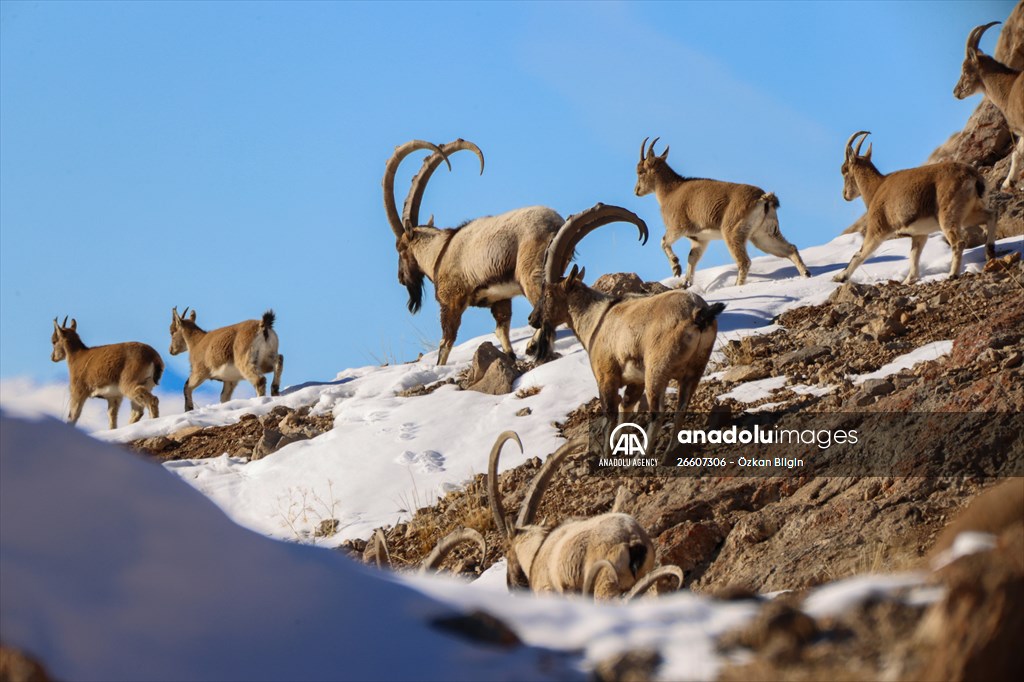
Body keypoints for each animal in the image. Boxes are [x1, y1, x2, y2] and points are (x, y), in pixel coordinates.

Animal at [382, 139, 560, 365]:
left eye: (400, 248)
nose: (401, 278)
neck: (440, 251)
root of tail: (555, 224)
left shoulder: (451, 300)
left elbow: (446, 343)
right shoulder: (500, 300)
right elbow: (502, 331)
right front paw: (511, 356)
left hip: (531, 274)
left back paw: (533, 346)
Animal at [528, 203, 724, 418]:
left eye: (547, 293)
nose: (532, 318)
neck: (596, 318)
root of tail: (699, 314)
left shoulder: (606, 378)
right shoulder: (635, 383)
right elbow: (626, 409)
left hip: (657, 370)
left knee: (657, 411)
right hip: (694, 372)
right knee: (681, 409)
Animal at [634, 137, 810, 287]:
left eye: (640, 171)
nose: (636, 191)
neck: (670, 192)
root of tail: (764, 198)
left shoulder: (678, 227)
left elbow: (663, 241)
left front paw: (676, 267)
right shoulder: (700, 239)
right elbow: (692, 258)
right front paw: (684, 284)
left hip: (732, 231)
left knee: (744, 261)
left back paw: (737, 287)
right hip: (763, 235)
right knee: (790, 248)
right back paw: (806, 274)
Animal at [835, 131, 994, 285]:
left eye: (844, 170)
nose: (845, 195)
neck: (875, 189)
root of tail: (973, 176)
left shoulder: (878, 229)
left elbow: (859, 254)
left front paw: (840, 277)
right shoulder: (920, 234)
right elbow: (914, 255)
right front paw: (909, 279)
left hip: (948, 214)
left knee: (958, 242)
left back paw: (953, 274)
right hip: (969, 213)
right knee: (991, 215)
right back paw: (990, 252)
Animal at [954, 21, 1024, 190]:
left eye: (964, 71)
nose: (955, 92)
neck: (1009, 89)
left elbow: (1016, 154)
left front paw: (1006, 183)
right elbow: (1017, 153)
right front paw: (1008, 183)